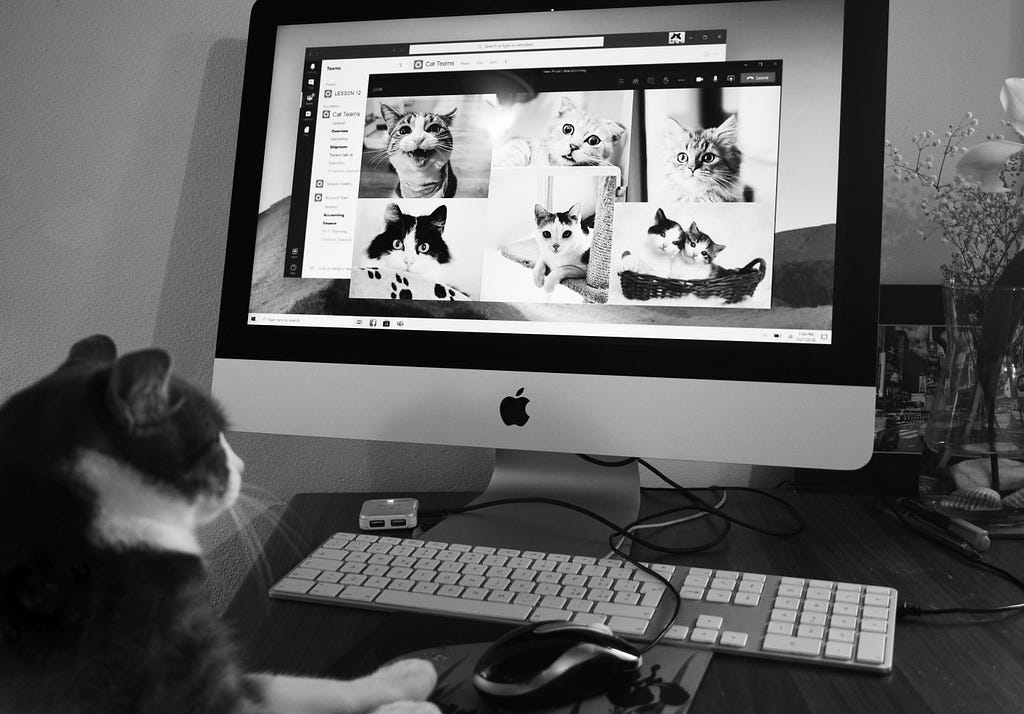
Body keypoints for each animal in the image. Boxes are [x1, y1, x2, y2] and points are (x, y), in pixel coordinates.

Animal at [0, 336, 436, 712]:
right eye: (214, 439)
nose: (242, 466)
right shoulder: (188, 690)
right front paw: (412, 707)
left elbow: (301, 684)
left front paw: (407, 674)